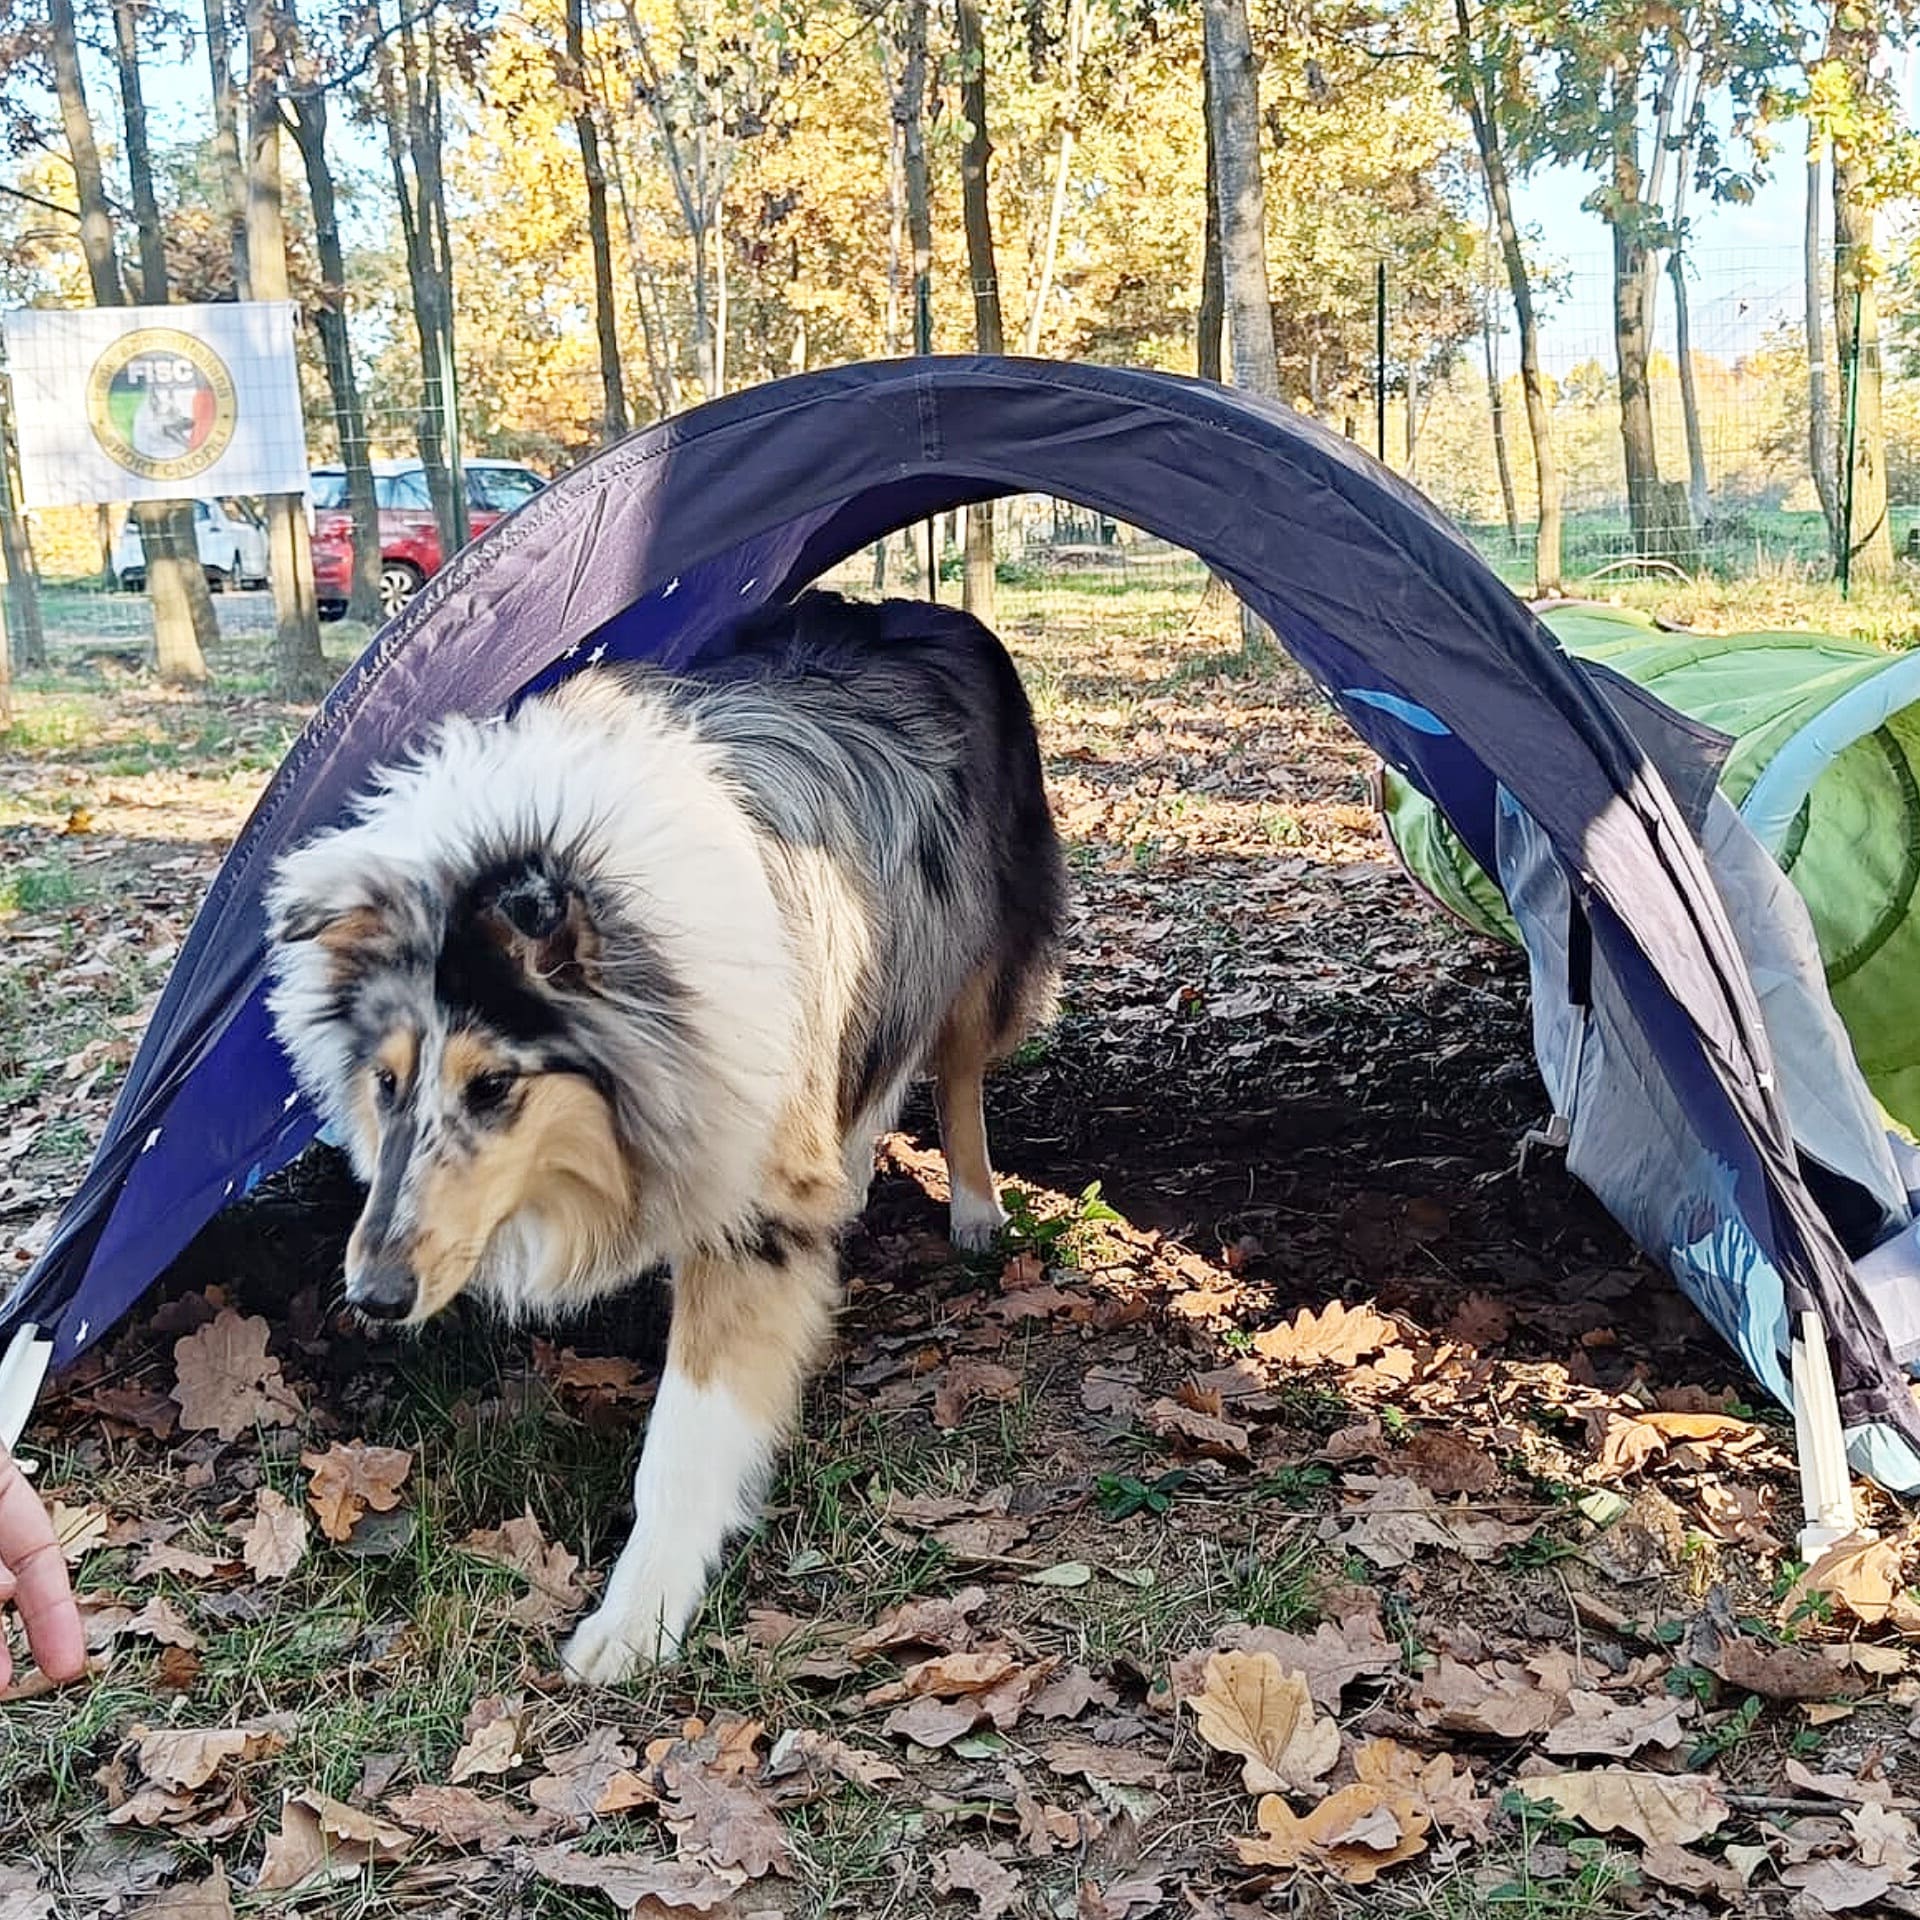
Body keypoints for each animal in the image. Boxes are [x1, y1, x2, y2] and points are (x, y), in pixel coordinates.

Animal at [263, 583, 1067, 1681]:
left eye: (494, 1084)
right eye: (383, 1083)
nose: (375, 1299)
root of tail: (921, 603)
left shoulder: (751, 1208)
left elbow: (686, 1435)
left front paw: (636, 1617)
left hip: (976, 945)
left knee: (955, 1068)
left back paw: (977, 1208)